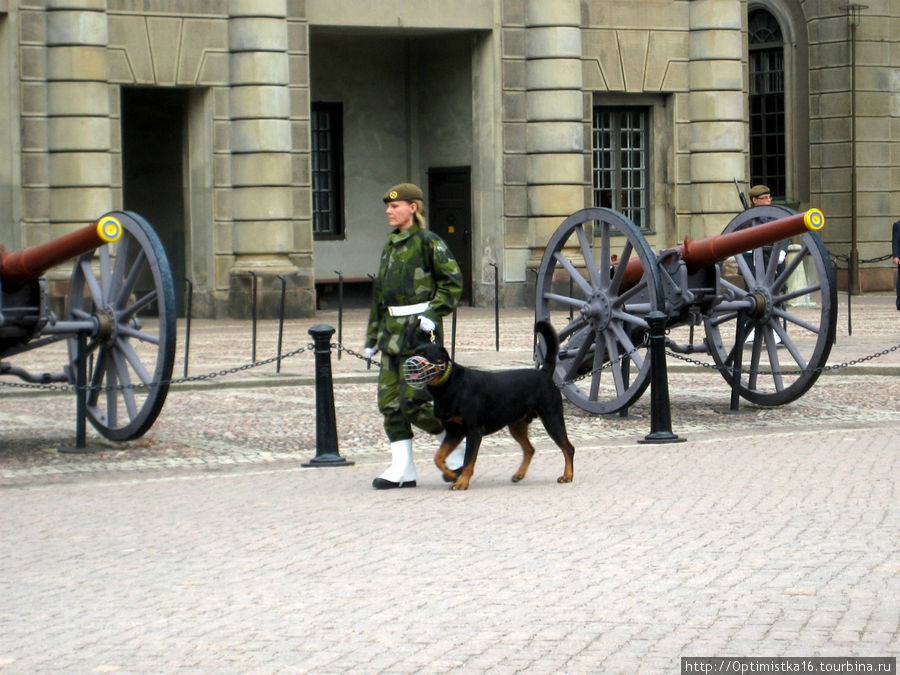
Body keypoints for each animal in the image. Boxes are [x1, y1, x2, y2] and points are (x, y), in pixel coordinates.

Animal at [402, 322, 572, 492]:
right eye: (413, 353)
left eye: (426, 354)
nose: (410, 365)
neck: (447, 386)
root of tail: (544, 373)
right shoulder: (454, 432)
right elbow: (438, 457)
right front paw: (451, 475)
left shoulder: (473, 432)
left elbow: (468, 461)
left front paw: (462, 483)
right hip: (517, 425)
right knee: (530, 449)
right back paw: (519, 474)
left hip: (552, 418)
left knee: (568, 448)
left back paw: (567, 476)